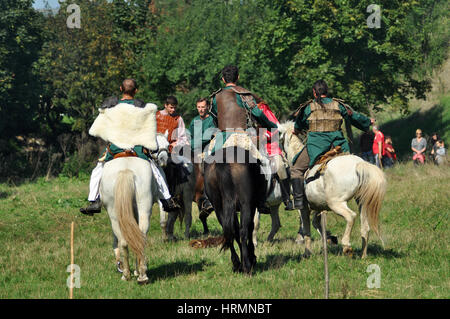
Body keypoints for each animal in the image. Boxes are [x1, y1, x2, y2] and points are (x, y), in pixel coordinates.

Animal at [278, 121, 386, 258]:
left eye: (280, 139)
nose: (282, 158)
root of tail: (358, 164)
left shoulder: (303, 208)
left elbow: (307, 229)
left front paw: (307, 253)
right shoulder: (318, 206)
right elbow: (316, 223)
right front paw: (329, 240)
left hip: (335, 203)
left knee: (351, 216)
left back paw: (347, 246)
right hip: (362, 202)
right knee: (365, 227)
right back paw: (363, 255)